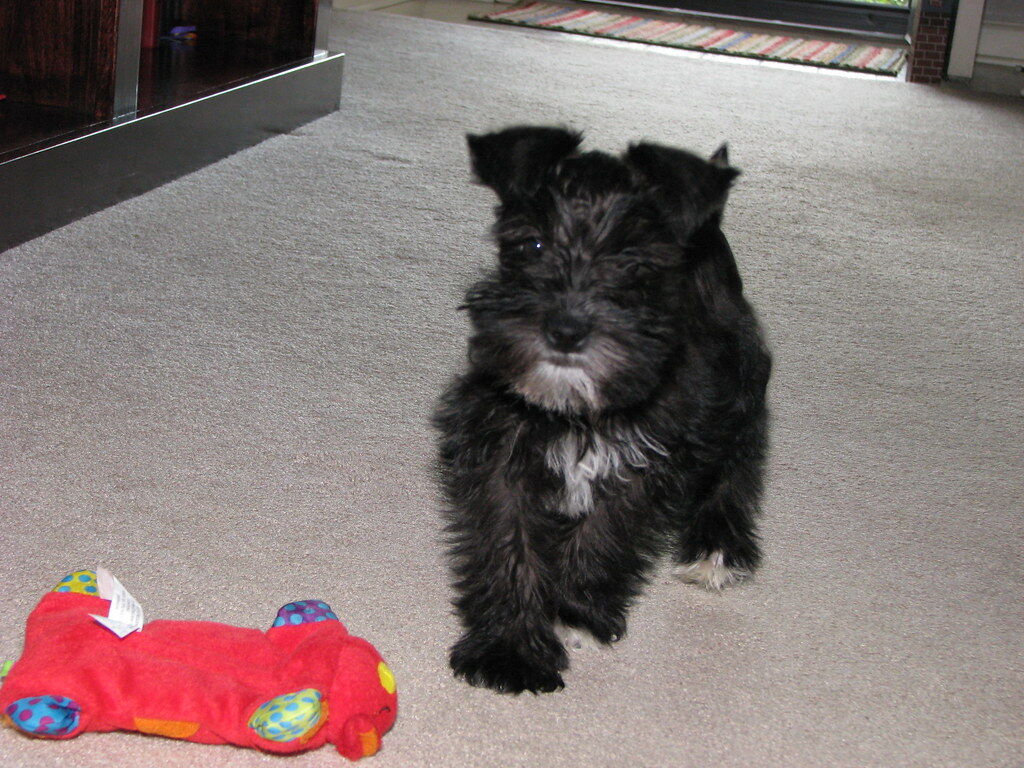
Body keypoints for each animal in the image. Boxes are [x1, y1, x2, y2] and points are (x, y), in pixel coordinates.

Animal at [430, 126, 770, 696]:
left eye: (634, 262)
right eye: (532, 243)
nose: (566, 331)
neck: (578, 411)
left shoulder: (646, 464)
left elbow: (605, 536)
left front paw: (575, 610)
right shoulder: (500, 451)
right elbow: (509, 545)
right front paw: (509, 649)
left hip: (740, 379)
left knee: (739, 458)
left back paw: (716, 549)